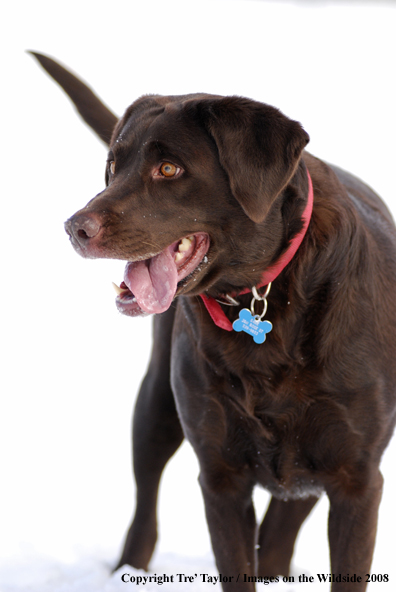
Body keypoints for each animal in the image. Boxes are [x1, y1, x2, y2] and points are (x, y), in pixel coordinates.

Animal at [33, 53, 396, 588]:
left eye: (169, 168)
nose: (74, 227)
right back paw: (128, 566)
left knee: (281, 528)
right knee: (145, 509)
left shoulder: (357, 479)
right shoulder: (221, 478)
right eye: (113, 166)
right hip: (157, 404)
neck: (266, 297)